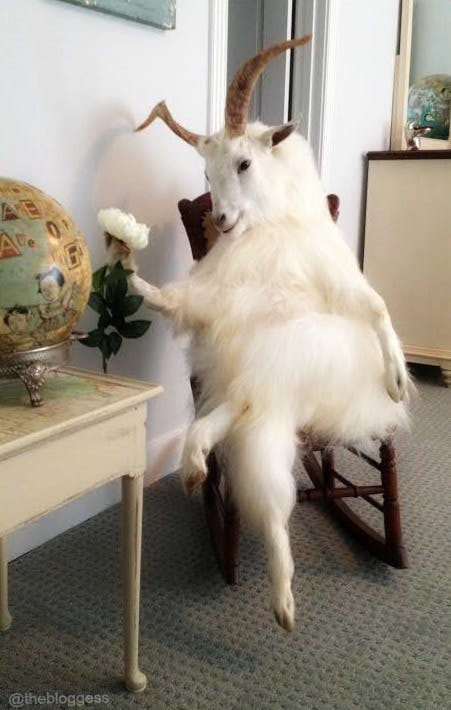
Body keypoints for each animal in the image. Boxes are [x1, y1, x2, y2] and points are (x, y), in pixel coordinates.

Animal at [108, 34, 410, 636]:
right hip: (259, 391)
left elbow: (375, 307)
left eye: (245, 162)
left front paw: (396, 380)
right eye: (206, 175)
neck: (269, 227)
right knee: (253, 463)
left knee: (254, 443)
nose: (221, 220)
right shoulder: (218, 299)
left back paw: (282, 601)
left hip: (277, 382)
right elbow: (185, 302)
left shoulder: (334, 283)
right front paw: (134, 273)